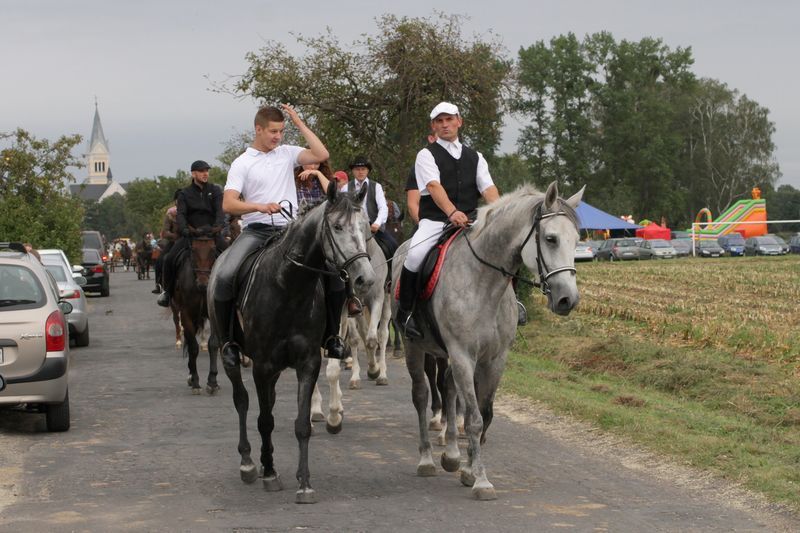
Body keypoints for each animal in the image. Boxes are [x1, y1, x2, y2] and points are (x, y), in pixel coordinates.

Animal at [173, 235, 219, 392]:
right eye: (193, 250)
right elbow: (193, 347)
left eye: (213, 250)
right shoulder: (185, 314)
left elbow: (213, 344)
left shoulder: (212, 313)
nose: (203, 284)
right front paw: (195, 380)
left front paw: (212, 381)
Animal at [209, 186, 378, 502]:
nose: (366, 279)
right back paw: (249, 463)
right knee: (242, 401)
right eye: (337, 227)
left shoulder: (307, 362)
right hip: (234, 357)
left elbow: (301, 425)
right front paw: (269, 473)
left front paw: (304, 483)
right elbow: (264, 419)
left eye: (364, 228)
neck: (288, 286)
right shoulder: (262, 365)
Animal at [392, 182, 584, 498]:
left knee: (448, 388)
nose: (568, 300)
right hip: (414, 347)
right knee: (421, 394)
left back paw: (452, 455)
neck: (484, 282)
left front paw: (469, 470)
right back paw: (427, 460)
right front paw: (481, 481)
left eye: (577, 240)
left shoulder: (494, 360)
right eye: (551, 239)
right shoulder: (462, 355)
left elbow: (484, 414)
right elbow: (473, 418)